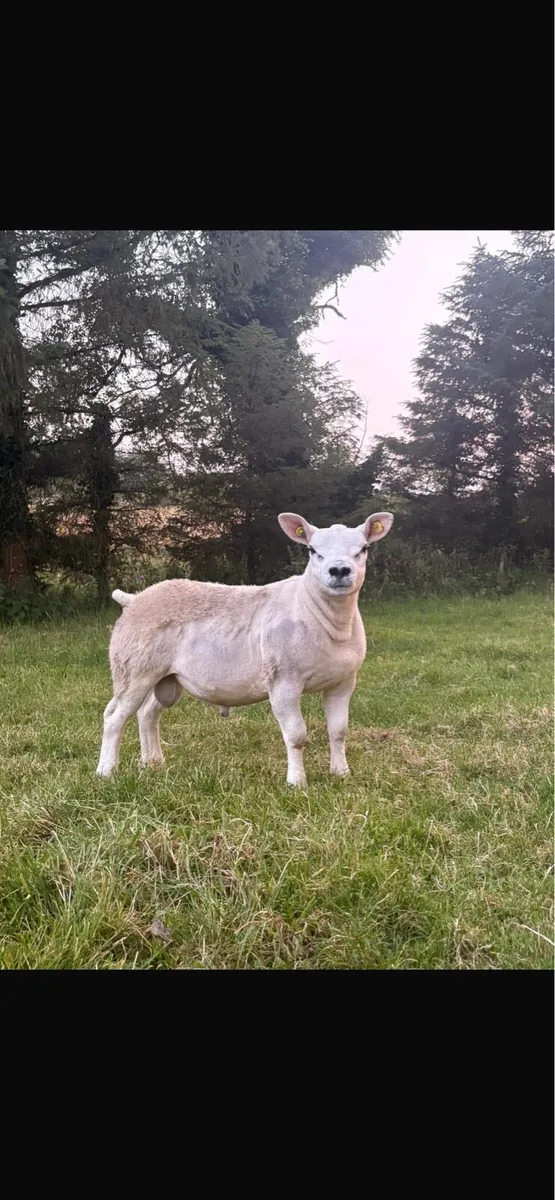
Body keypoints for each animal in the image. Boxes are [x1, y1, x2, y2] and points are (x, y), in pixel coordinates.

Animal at [96, 511, 393, 787]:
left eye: (363, 548)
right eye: (313, 550)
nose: (339, 571)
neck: (317, 613)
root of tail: (134, 599)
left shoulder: (343, 682)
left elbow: (339, 731)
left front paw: (341, 773)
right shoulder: (283, 682)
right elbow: (296, 736)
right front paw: (297, 783)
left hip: (165, 676)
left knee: (147, 714)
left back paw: (153, 763)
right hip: (132, 669)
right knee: (114, 717)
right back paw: (106, 771)